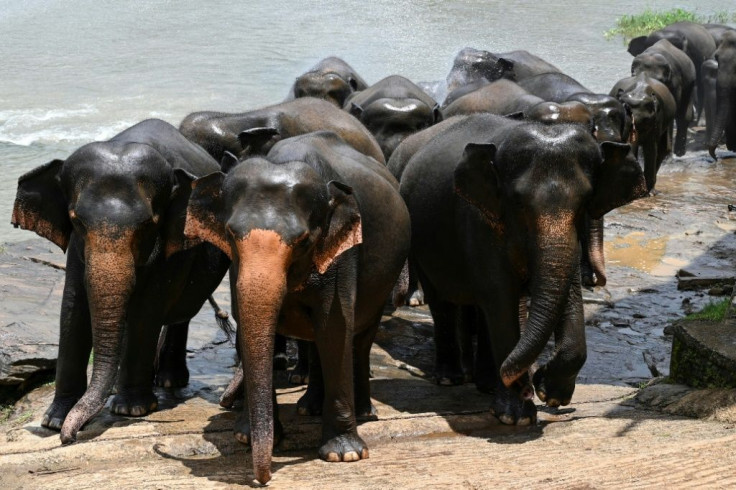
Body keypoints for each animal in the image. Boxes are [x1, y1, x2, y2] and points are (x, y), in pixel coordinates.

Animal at [10, 118, 230, 444]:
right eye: (75, 220)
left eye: (148, 224)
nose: (69, 438)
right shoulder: (77, 249)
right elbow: (73, 307)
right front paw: (54, 420)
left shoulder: (170, 244)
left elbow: (146, 308)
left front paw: (131, 410)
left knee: (181, 314)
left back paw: (167, 382)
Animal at [181, 131, 412, 486]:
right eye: (231, 234)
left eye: (303, 241)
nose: (262, 479)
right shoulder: (236, 269)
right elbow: (247, 322)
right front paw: (248, 437)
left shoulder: (342, 255)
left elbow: (335, 328)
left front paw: (345, 455)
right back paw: (309, 407)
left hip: (383, 283)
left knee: (359, 338)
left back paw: (363, 412)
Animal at [396, 113, 644, 424]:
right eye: (518, 202)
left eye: (585, 202)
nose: (529, 385)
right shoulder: (479, 221)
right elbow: (501, 299)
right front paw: (516, 416)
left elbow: (568, 295)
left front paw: (551, 394)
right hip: (422, 243)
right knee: (443, 302)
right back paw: (451, 379)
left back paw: (487, 384)